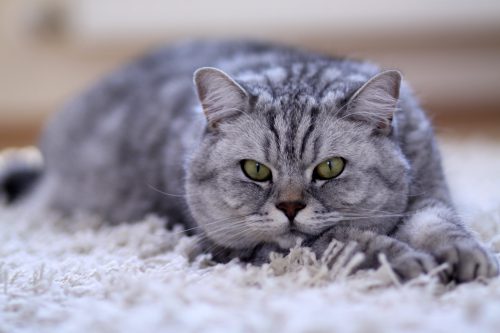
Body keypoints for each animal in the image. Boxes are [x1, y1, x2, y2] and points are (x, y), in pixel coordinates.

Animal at [1, 40, 498, 282]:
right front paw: (408, 261)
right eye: (256, 171)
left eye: (330, 168)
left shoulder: (429, 191)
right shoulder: (239, 245)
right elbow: (344, 241)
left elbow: (440, 223)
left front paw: (465, 254)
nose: (291, 207)